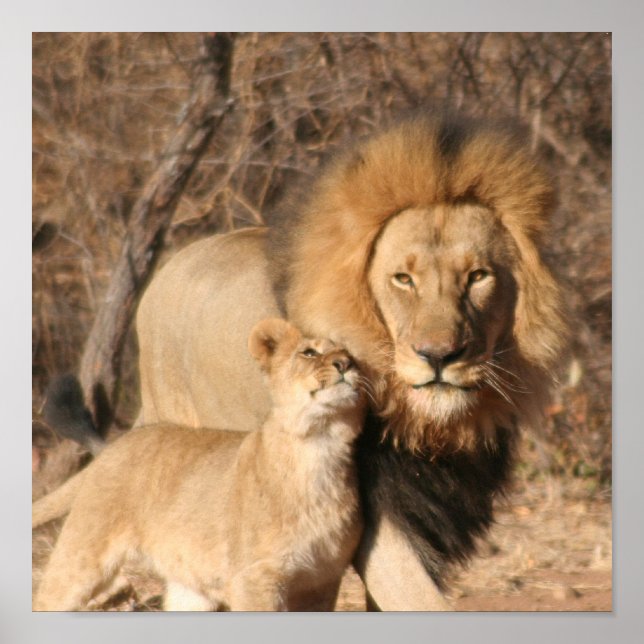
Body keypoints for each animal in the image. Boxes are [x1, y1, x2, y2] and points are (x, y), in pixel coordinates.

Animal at [33, 319, 365, 611]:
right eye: (309, 352)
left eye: (352, 356)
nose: (345, 364)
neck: (320, 444)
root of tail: (115, 444)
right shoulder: (254, 580)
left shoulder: (320, 581)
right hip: (81, 558)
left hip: (190, 588)